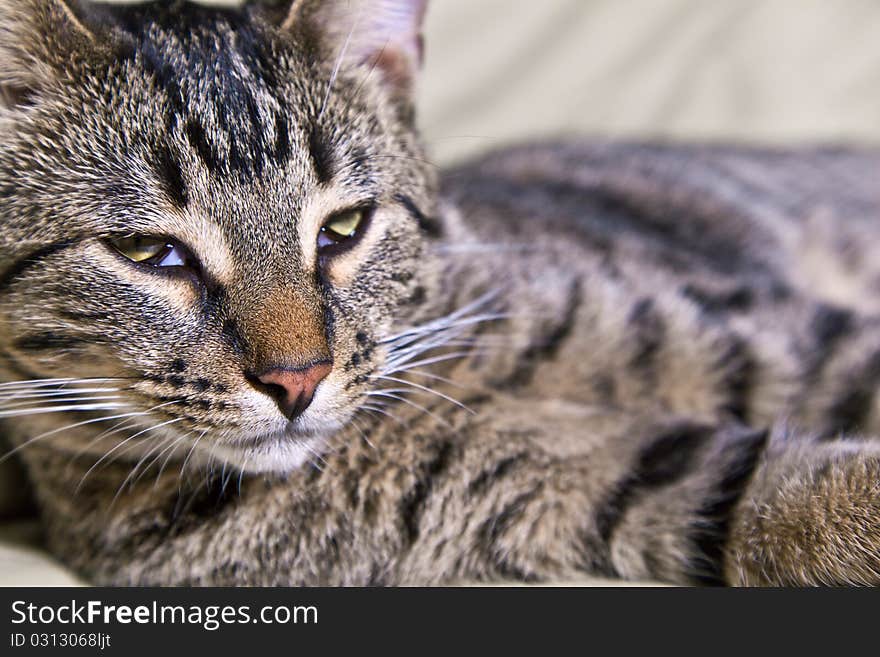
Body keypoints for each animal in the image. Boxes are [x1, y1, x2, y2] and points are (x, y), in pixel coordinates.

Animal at [1, 0, 880, 584]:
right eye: (148, 252)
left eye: (345, 226)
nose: (297, 379)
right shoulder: (612, 483)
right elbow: (777, 497)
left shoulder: (759, 332)